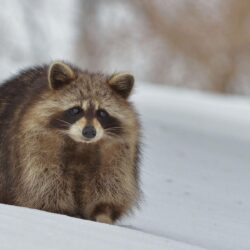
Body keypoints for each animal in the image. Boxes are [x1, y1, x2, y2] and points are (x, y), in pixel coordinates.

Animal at [0, 61, 141, 224]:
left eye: (102, 113)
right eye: (76, 110)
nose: (89, 132)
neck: (81, 145)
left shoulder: (118, 152)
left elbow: (111, 184)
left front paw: (103, 213)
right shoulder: (34, 142)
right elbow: (43, 183)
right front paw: (60, 210)